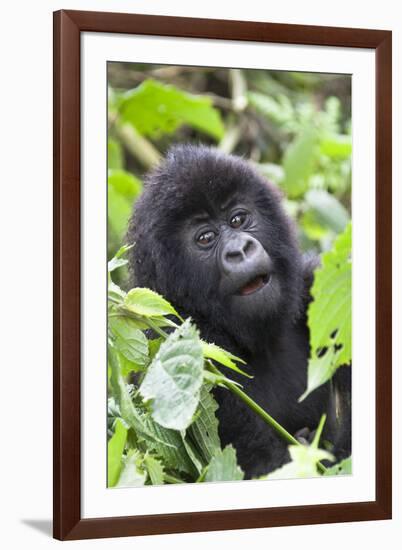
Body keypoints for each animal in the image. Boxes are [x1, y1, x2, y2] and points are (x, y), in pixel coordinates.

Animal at [127, 146, 350, 478]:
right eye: (205, 238)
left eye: (238, 219)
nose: (240, 250)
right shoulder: (180, 340)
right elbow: (260, 462)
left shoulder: (317, 287)